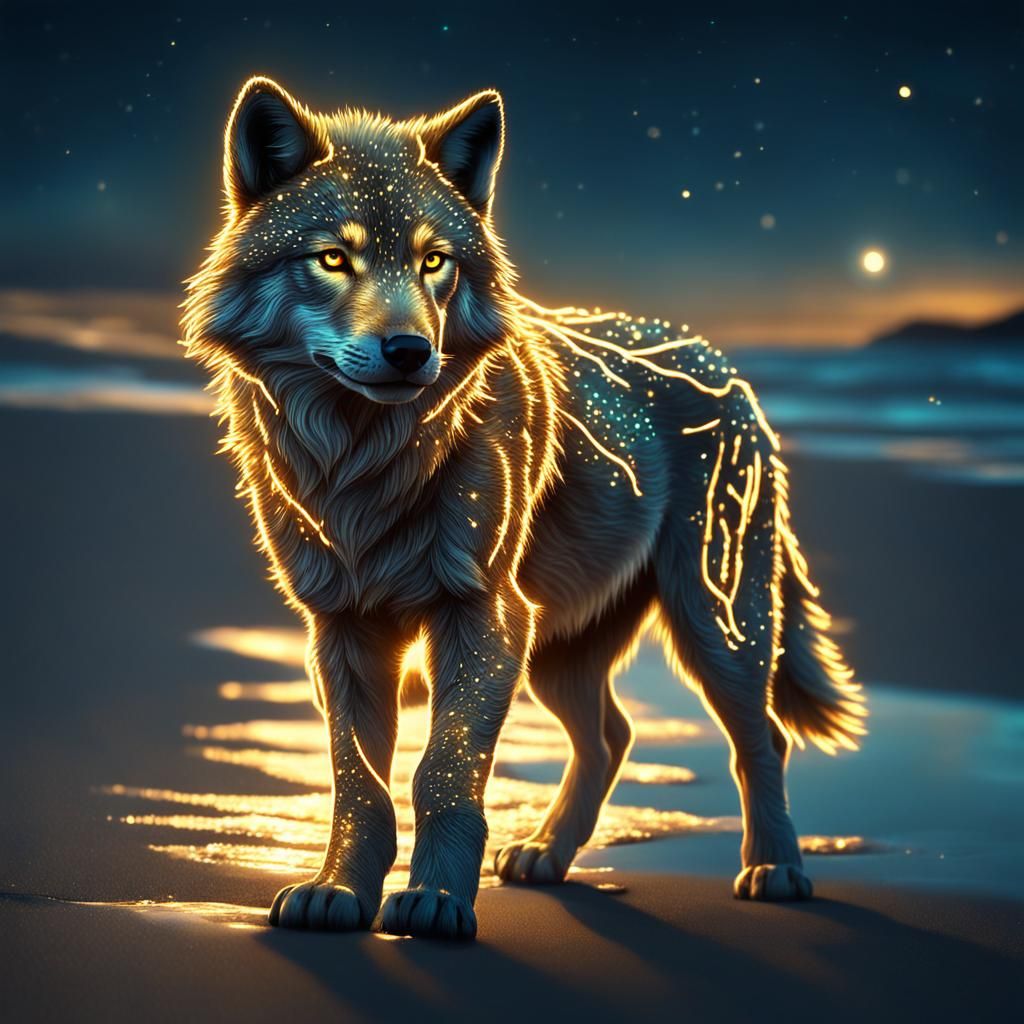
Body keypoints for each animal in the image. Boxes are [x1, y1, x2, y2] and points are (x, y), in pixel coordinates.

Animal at [182, 77, 865, 940]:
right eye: (334, 258)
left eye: (433, 262)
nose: (410, 351)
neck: (366, 462)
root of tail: (723, 364)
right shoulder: (342, 627)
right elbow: (356, 777)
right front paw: (337, 892)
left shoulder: (482, 613)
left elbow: (443, 770)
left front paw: (436, 903)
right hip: (555, 645)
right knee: (613, 734)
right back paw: (545, 854)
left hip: (712, 624)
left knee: (761, 736)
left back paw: (775, 869)